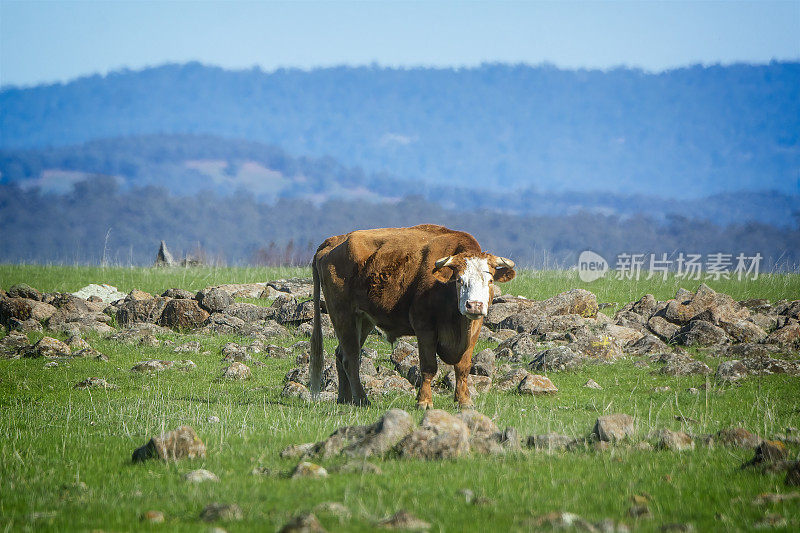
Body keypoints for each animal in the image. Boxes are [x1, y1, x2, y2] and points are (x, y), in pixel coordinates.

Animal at [310, 223, 516, 408]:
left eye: (490, 280)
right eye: (459, 280)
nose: (474, 306)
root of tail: (335, 240)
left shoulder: (473, 330)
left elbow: (463, 367)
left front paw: (464, 401)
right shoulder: (424, 327)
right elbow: (428, 367)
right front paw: (424, 401)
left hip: (363, 319)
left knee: (341, 354)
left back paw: (345, 399)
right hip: (342, 314)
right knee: (351, 357)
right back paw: (361, 399)